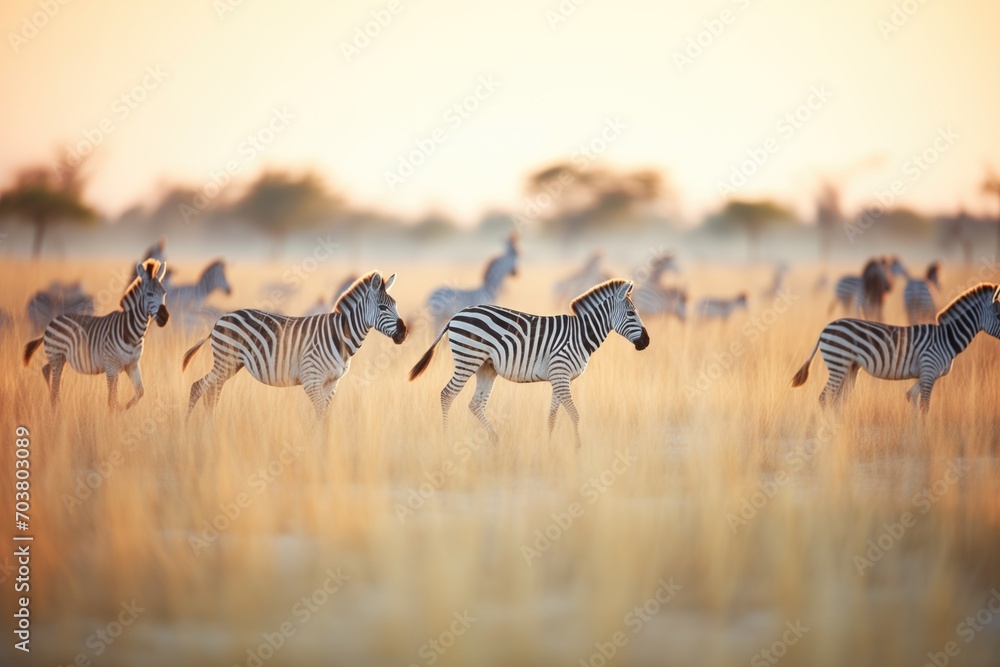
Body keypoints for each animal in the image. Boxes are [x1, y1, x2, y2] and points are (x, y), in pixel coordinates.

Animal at [22, 259, 170, 409]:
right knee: (53, 383)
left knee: (47, 371)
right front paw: (117, 412)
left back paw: (58, 405)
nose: (165, 318)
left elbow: (140, 391)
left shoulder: (132, 365)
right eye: (149, 294)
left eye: (164, 293)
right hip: (56, 355)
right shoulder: (111, 366)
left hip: (59, 357)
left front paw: (124, 408)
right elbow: (112, 401)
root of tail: (52, 321)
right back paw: (56, 407)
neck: (132, 333)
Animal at [182, 272, 407, 419]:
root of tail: (220, 319)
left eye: (396, 305)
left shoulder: (331, 383)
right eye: (382, 307)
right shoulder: (311, 379)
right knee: (198, 387)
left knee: (210, 392)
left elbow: (323, 416)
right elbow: (320, 415)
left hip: (230, 364)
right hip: (225, 361)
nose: (404, 332)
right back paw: (189, 429)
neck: (339, 336)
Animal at [408, 279, 650, 447]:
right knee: (447, 395)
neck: (580, 334)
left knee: (475, 404)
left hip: (486, 367)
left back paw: (496, 440)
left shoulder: (559, 378)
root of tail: (456, 314)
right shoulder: (560, 374)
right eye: (631, 314)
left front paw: (549, 446)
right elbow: (574, 414)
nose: (646, 342)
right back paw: (445, 438)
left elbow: (552, 416)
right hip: (467, 359)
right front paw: (578, 446)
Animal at [791, 283, 1000, 413]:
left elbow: (911, 397)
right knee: (824, 399)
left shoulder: (926, 374)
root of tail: (825, 327)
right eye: (999, 315)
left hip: (849, 368)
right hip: (838, 363)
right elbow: (925, 406)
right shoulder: (929, 369)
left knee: (837, 401)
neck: (947, 338)